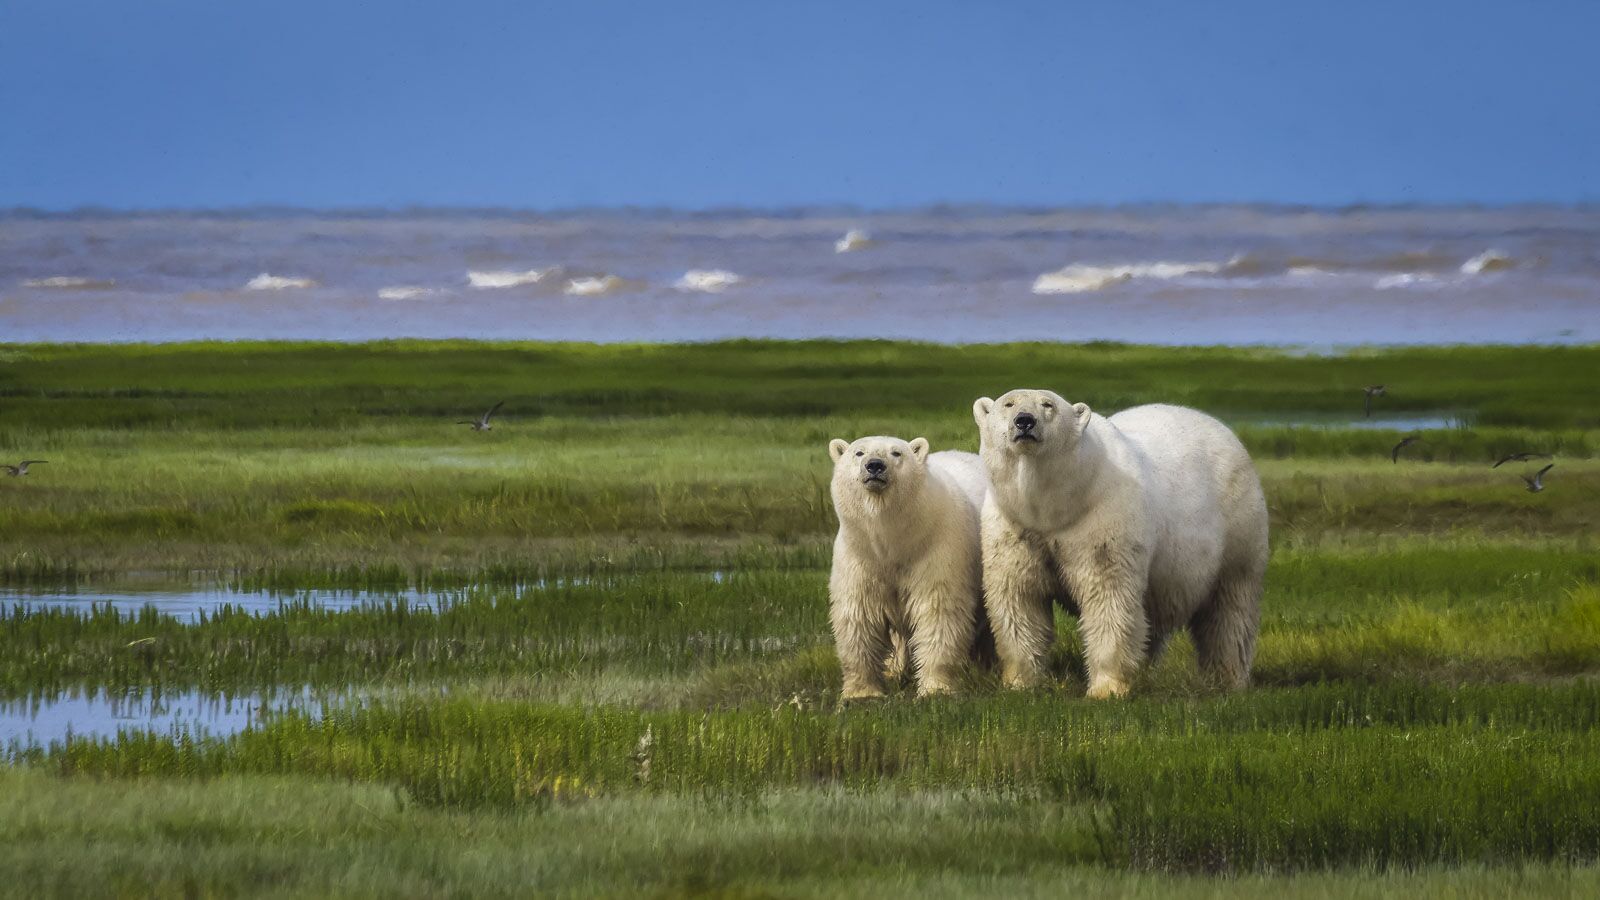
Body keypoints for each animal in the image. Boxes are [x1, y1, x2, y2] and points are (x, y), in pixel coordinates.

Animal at [832, 432, 992, 695]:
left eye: (896, 453)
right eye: (859, 452)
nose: (875, 465)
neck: (895, 542)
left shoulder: (936, 550)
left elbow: (938, 610)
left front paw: (936, 688)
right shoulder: (860, 557)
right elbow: (858, 615)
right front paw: (861, 692)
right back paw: (894, 669)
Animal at [966, 389, 1267, 698]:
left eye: (1047, 404)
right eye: (1008, 403)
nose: (1024, 421)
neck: (1058, 506)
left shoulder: (1103, 520)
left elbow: (1108, 596)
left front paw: (1106, 689)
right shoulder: (1014, 526)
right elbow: (1019, 597)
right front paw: (1020, 683)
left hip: (1238, 528)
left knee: (1229, 608)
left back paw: (1228, 677)